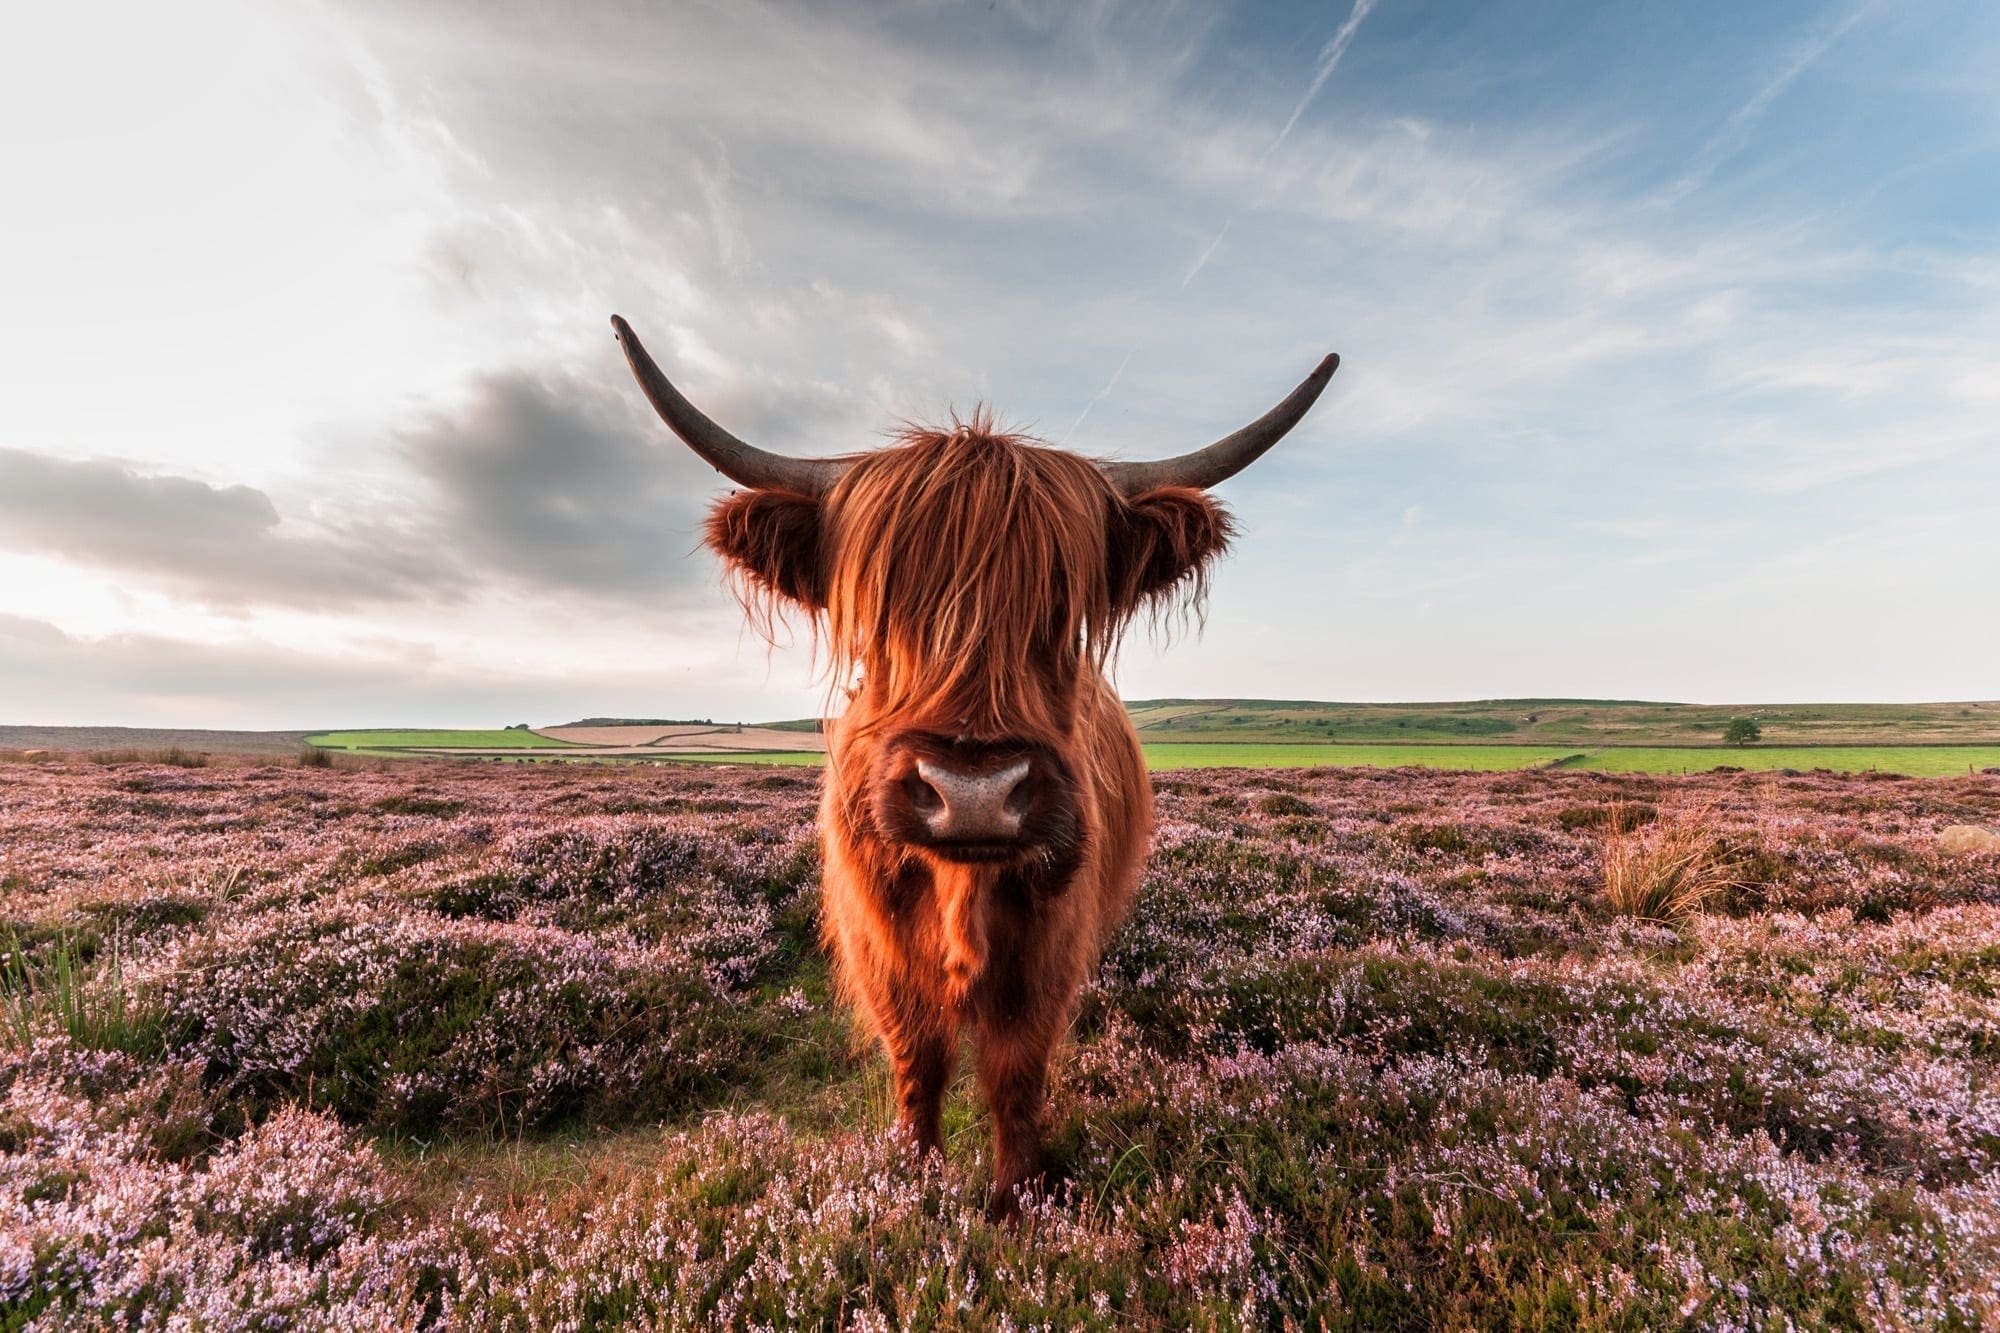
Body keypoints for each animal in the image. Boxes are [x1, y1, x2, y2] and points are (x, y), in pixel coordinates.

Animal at [600, 314, 1336, 1216]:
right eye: (879, 614)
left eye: (1062, 611)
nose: (976, 794)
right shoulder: (880, 941)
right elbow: (919, 1060)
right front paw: (913, 1180)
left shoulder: (1049, 942)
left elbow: (1015, 1068)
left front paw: (1018, 1194)